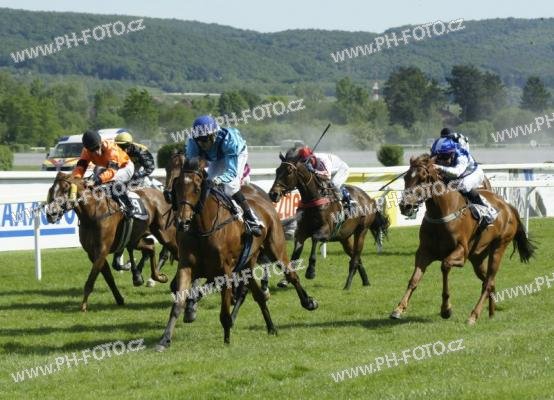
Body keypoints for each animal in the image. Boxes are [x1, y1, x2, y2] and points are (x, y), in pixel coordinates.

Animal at [46, 172, 178, 311]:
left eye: (65, 189)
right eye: (51, 189)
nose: (51, 213)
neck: (93, 213)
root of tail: (162, 194)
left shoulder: (102, 250)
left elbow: (91, 279)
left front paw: (83, 306)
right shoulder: (92, 253)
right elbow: (108, 277)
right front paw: (119, 299)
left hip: (166, 235)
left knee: (177, 252)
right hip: (135, 239)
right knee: (151, 245)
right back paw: (157, 277)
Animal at [157, 158, 318, 350]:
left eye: (196, 189)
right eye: (177, 187)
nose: (182, 222)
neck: (203, 230)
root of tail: (265, 201)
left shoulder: (224, 271)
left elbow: (223, 310)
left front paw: (226, 338)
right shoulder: (187, 267)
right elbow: (178, 302)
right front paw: (165, 339)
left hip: (275, 249)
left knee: (291, 275)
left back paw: (308, 302)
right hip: (246, 264)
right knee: (258, 295)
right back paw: (271, 327)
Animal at [268, 154, 390, 290]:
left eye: (289, 171)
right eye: (277, 170)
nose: (273, 194)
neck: (314, 198)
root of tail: (369, 199)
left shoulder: (326, 231)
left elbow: (315, 238)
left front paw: (311, 271)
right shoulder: (301, 232)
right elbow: (295, 254)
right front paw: (285, 280)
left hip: (361, 231)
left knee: (355, 258)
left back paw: (347, 285)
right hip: (344, 237)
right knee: (356, 257)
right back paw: (366, 281)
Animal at [390, 154, 536, 324]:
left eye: (423, 178)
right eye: (406, 177)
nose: (404, 206)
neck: (442, 212)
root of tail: (508, 207)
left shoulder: (461, 253)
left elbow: (445, 266)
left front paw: (446, 309)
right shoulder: (424, 252)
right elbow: (414, 279)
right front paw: (398, 309)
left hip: (499, 247)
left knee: (488, 282)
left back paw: (473, 316)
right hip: (477, 257)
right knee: (489, 281)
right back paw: (491, 313)